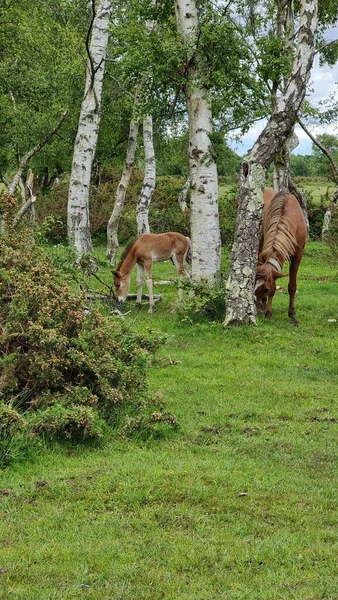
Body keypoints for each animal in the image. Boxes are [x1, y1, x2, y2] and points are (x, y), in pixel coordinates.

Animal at [256, 190, 306, 326]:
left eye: (266, 289)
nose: (255, 308)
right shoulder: (264, 252)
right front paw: (268, 312)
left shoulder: (297, 256)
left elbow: (292, 286)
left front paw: (292, 315)